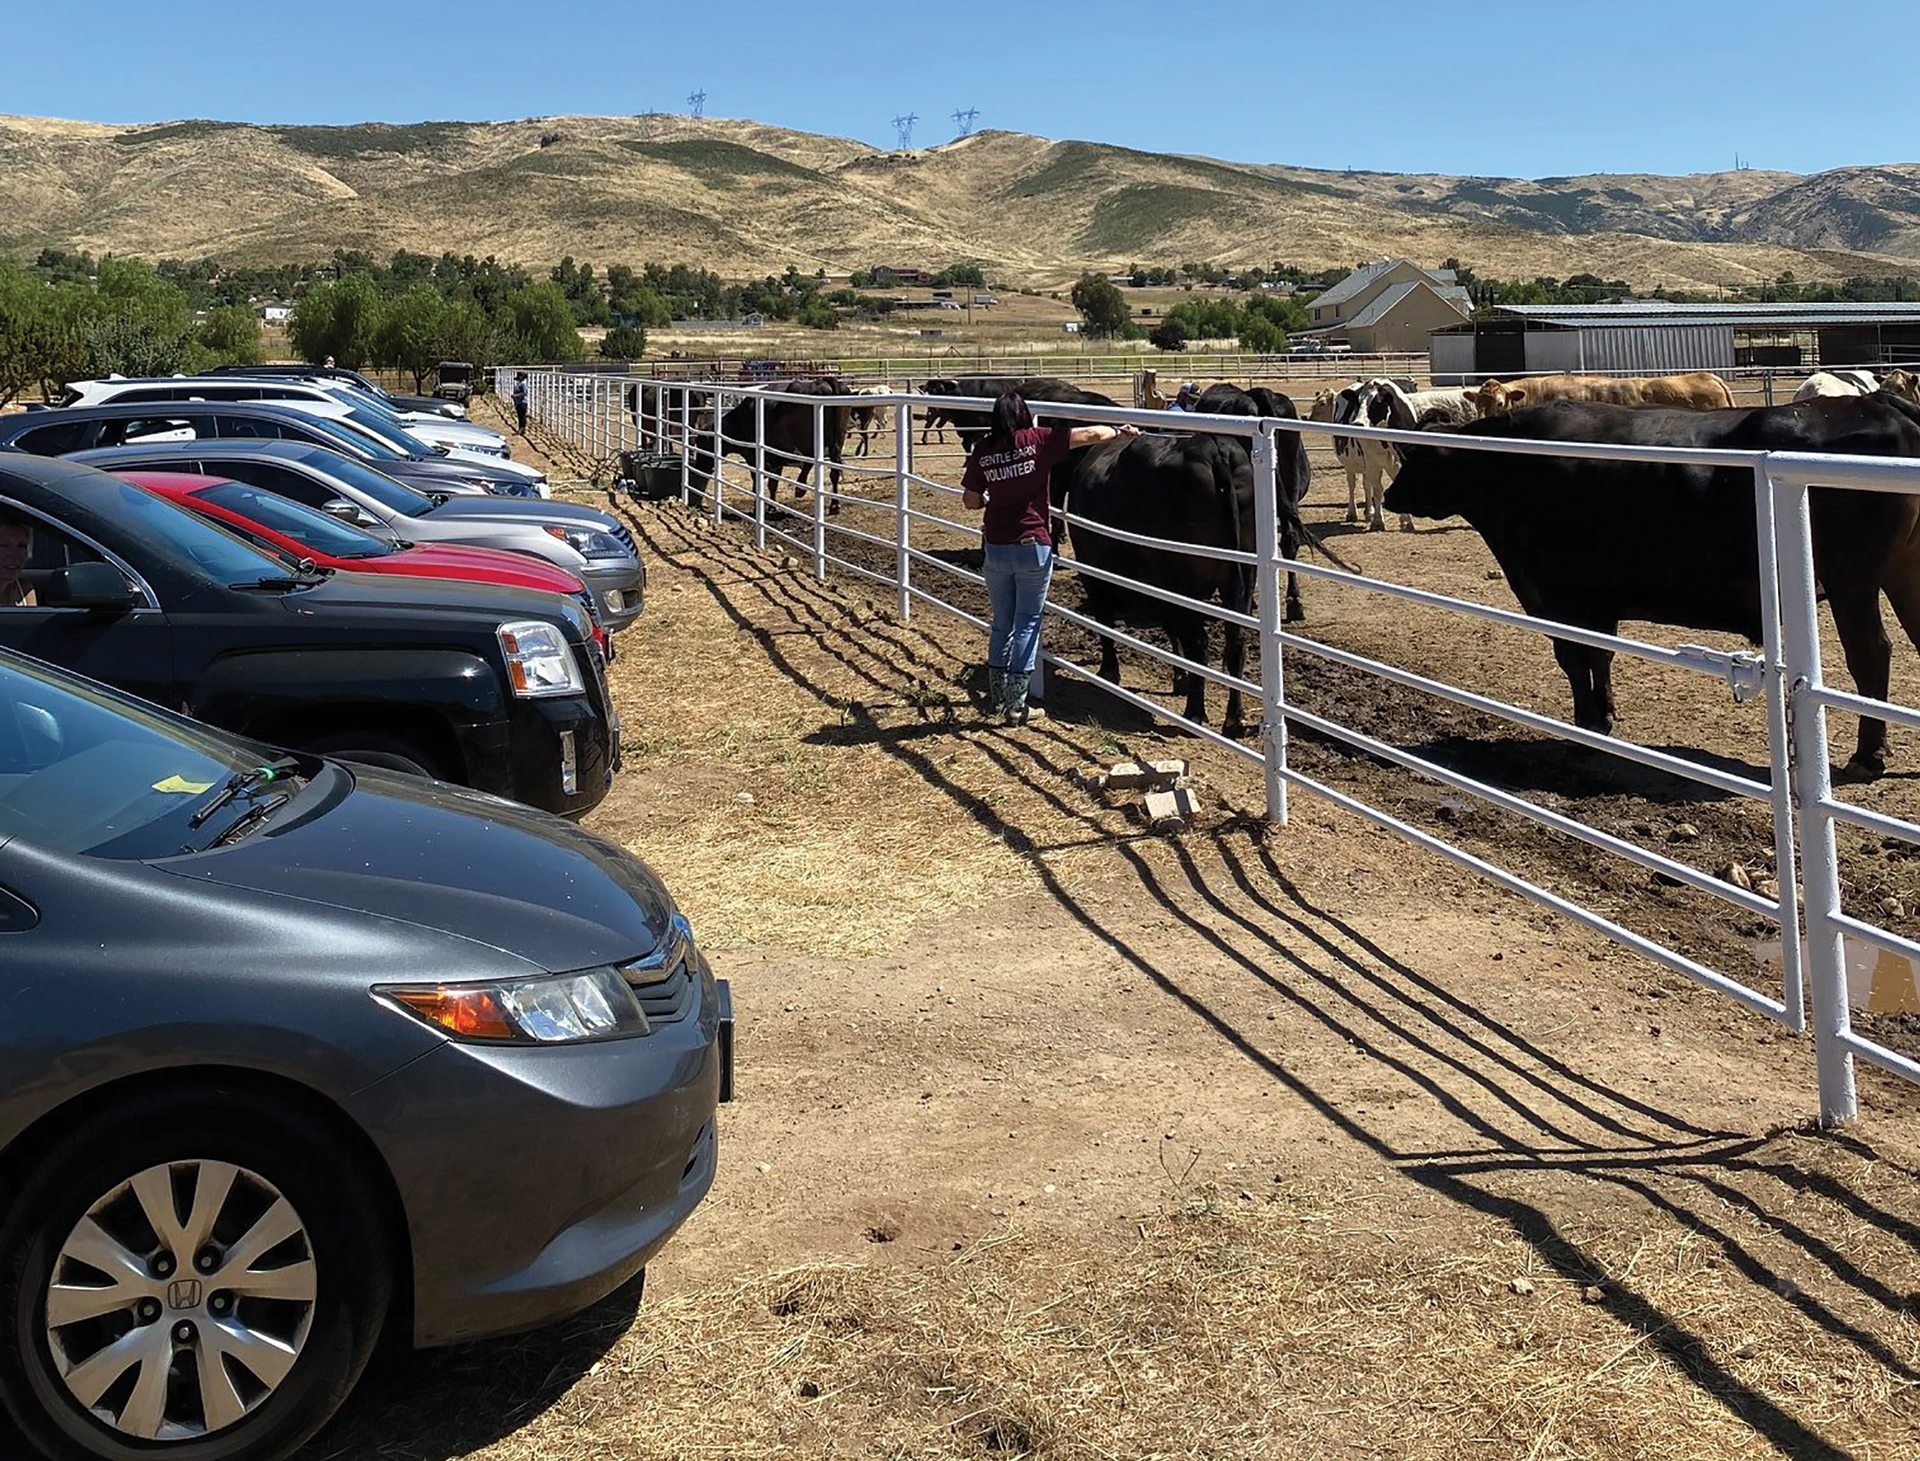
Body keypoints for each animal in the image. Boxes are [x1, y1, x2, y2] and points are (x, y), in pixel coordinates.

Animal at [686, 377, 856, 514]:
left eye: (701, 444)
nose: (701, 467)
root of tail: (824, 381)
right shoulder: (776, 458)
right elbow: (773, 483)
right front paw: (772, 506)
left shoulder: (754, 457)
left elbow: (758, 483)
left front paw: (758, 507)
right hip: (836, 444)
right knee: (834, 471)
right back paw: (834, 505)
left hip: (809, 442)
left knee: (810, 461)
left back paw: (800, 488)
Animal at [1382, 394, 1920, 777]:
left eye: (1418, 458)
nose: (1390, 496)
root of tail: (1878, 401)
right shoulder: (1597, 600)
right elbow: (1601, 656)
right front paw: (1605, 715)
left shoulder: (1554, 594)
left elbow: (1574, 657)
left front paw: (1585, 725)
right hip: (1900, 575)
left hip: (1854, 584)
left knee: (1871, 654)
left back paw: (1868, 755)